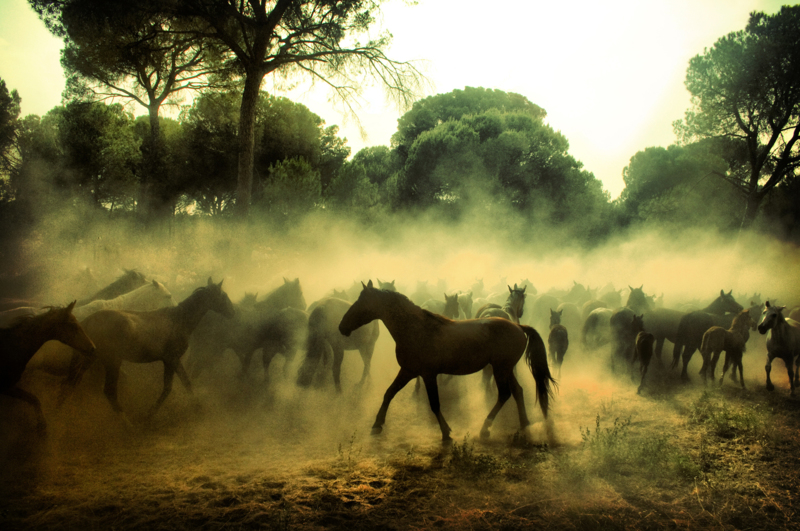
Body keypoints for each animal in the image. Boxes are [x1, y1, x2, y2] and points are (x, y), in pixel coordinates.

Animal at [0, 304, 95, 432]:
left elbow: (34, 399)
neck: (11, 348)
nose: (93, 348)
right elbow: (34, 399)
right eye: (73, 325)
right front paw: (42, 428)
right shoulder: (7, 387)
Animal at [61, 278, 234, 420]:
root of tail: (88, 320)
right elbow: (173, 387)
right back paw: (128, 424)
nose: (232, 313)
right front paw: (149, 415)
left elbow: (182, 384)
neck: (178, 319)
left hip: (90, 359)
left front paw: (197, 408)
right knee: (108, 391)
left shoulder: (171, 361)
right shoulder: (171, 359)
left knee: (72, 383)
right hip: (112, 362)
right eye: (224, 296)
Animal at [340, 280, 556, 442]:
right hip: (506, 369)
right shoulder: (408, 371)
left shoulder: (427, 375)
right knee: (517, 391)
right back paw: (525, 423)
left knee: (504, 394)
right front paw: (377, 425)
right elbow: (389, 393)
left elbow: (435, 404)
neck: (415, 329)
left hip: (500, 369)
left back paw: (485, 429)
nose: (342, 327)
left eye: (361, 303)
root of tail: (519, 327)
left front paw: (446, 433)